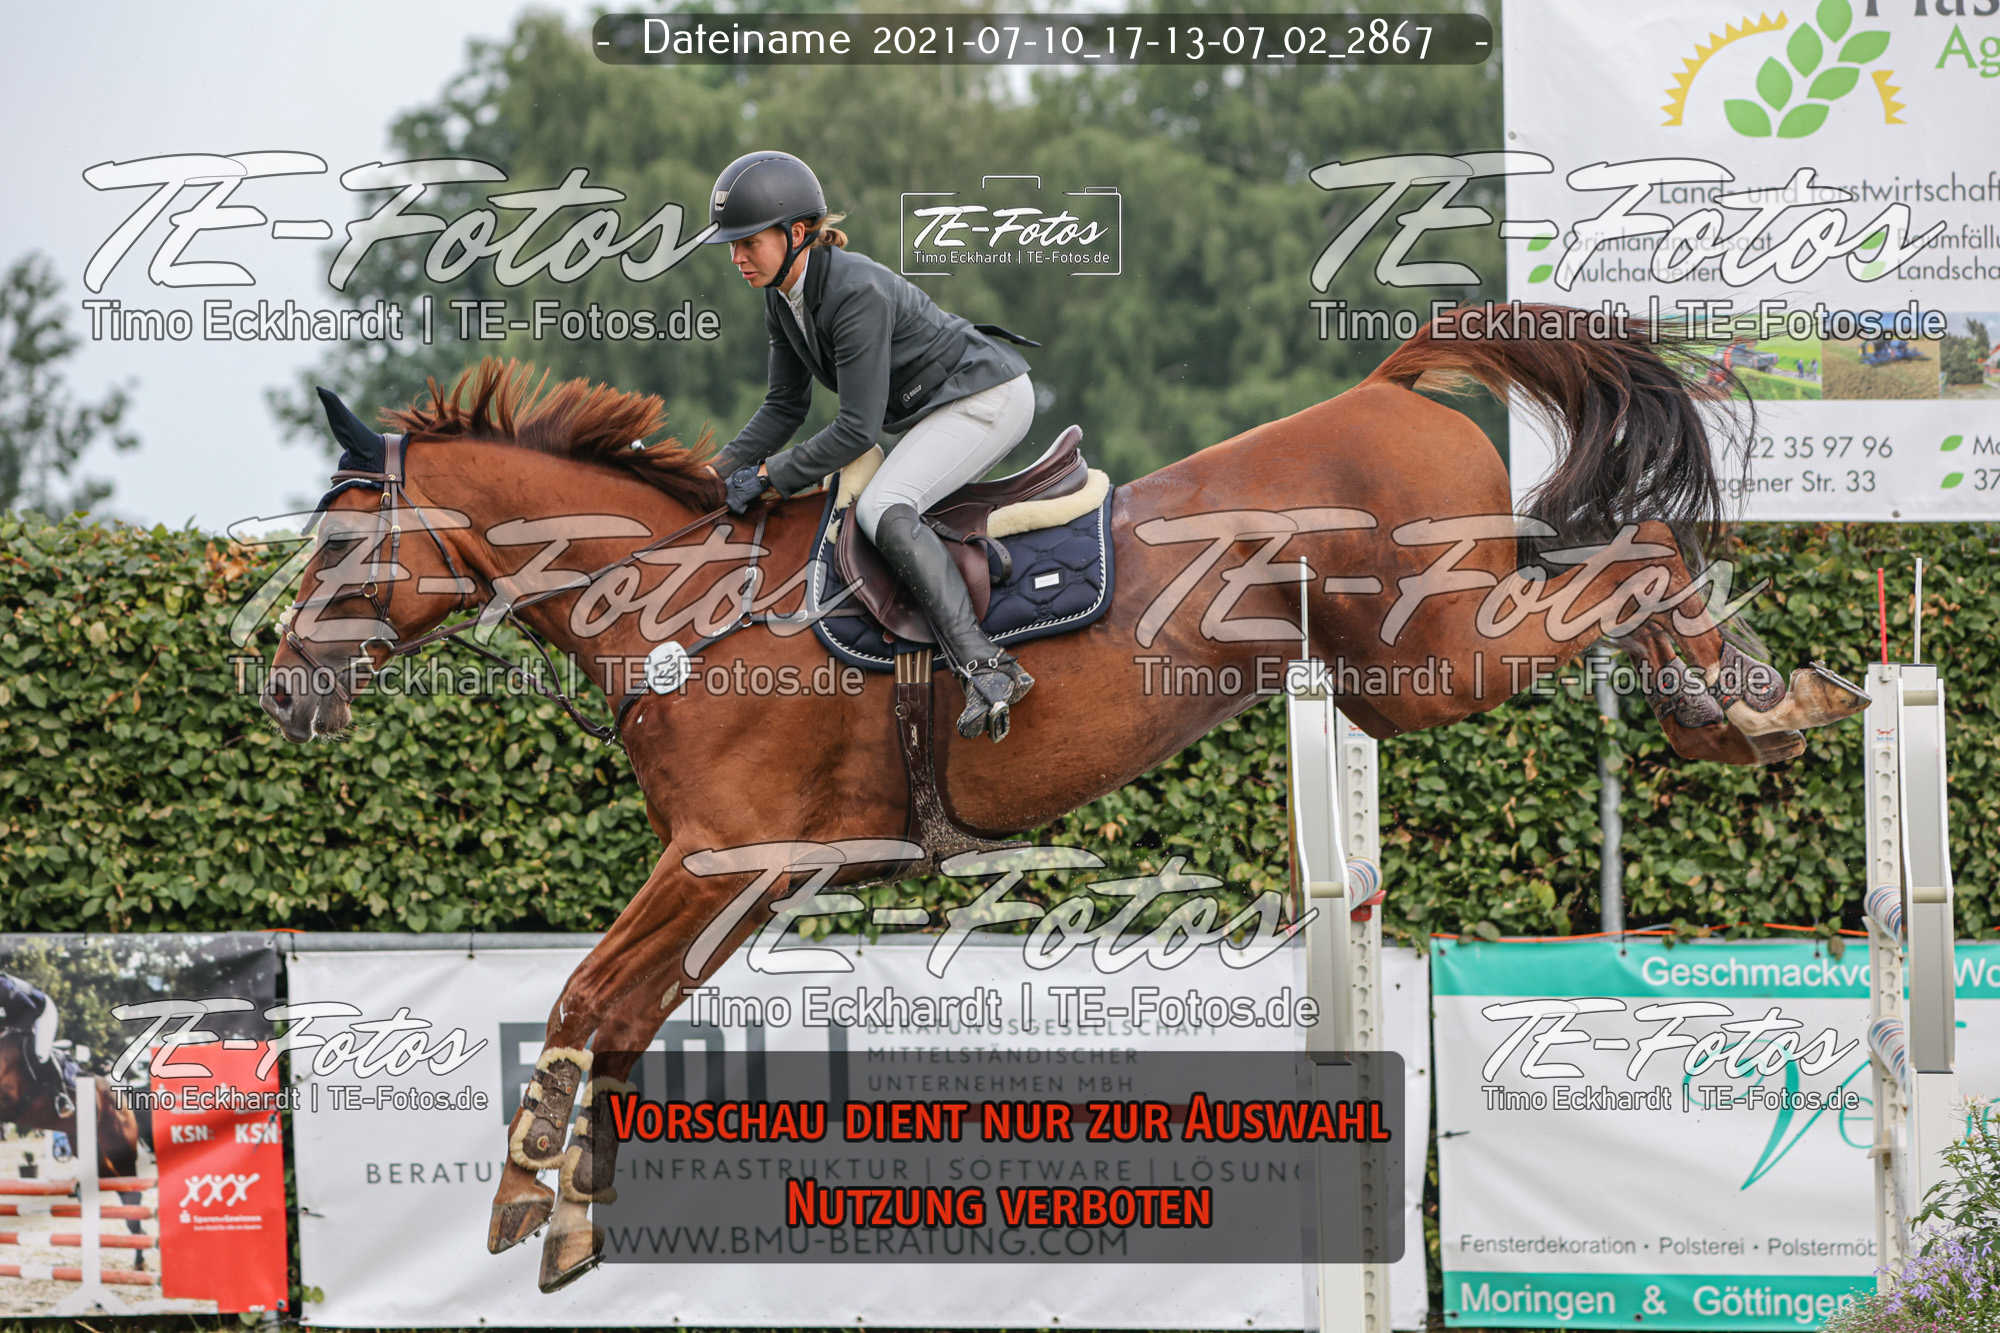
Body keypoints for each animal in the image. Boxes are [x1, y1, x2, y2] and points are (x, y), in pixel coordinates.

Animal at [258, 302, 1867, 1290]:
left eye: (337, 545)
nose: (275, 691)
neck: (678, 605)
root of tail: (1388, 380)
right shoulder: (739, 878)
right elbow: (620, 1019)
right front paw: (572, 1218)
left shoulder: (727, 857)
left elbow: (588, 998)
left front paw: (521, 1197)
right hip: (1407, 666)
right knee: (1619, 562)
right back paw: (1738, 704)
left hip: (1439, 657)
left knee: (1637, 557)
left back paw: (1754, 710)